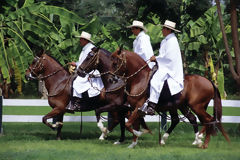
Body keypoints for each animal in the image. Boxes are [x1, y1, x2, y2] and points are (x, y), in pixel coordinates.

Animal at [77, 47, 231, 149]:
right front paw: (131, 142)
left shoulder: (127, 107)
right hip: (182, 106)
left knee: (208, 120)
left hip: (196, 106)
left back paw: (202, 142)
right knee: (191, 119)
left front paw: (137, 134)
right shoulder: (131, 109)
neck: (138, 79)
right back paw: (186, 139)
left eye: (89, 56)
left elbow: (124, 123)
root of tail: (209, 81)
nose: (79, 71)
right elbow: (127, 123)